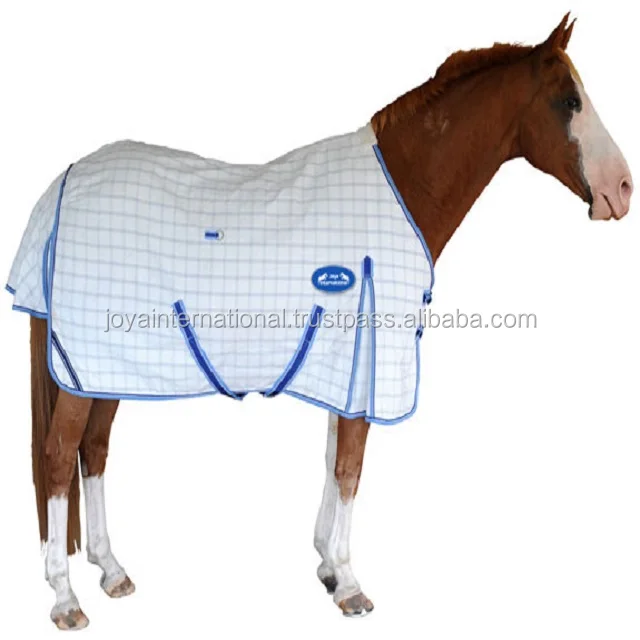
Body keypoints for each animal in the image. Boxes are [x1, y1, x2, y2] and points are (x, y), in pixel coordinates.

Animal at [7, 14, 632, 630]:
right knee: (59, 457)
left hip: (104, 370)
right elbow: (351, 468)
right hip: (85, 368)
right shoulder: (370, 362)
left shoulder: (347, 367)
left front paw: (328, 568)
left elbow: (334, 460)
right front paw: (350, 586)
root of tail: (62, 186)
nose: (622, 189)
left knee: (94, 451)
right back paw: (65, 600)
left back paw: (112, 571)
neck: (402, 188)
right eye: (569, 100)